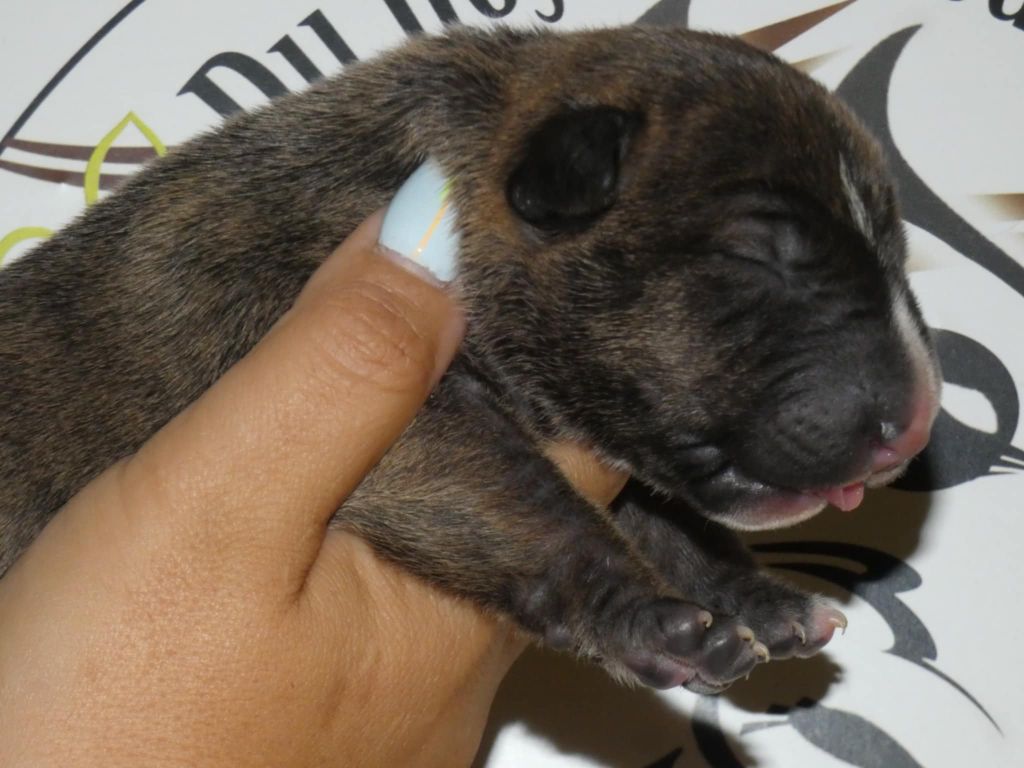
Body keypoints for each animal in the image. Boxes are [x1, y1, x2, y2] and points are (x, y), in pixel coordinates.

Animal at [0, 26, 939, 692]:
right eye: (760, 250)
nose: (920, 418)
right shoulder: (403, 413)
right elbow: (531, 505)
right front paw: (646, 616)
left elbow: (667, 520)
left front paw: (758, 597)